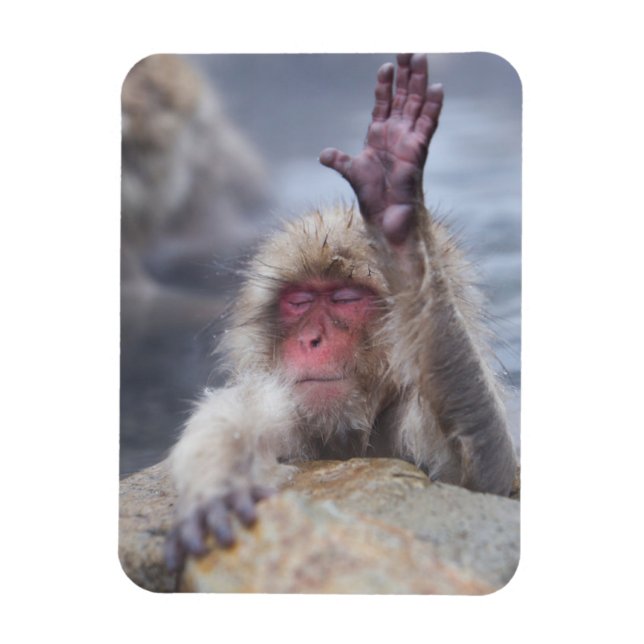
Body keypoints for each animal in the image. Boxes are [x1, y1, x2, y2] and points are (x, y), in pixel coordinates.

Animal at [164, 54, 519, 571]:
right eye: (299, 301)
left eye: (346, 298)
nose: (313, 340)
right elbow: (231, 417)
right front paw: (218, 489)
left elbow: (488, 474)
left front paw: (403, 236)